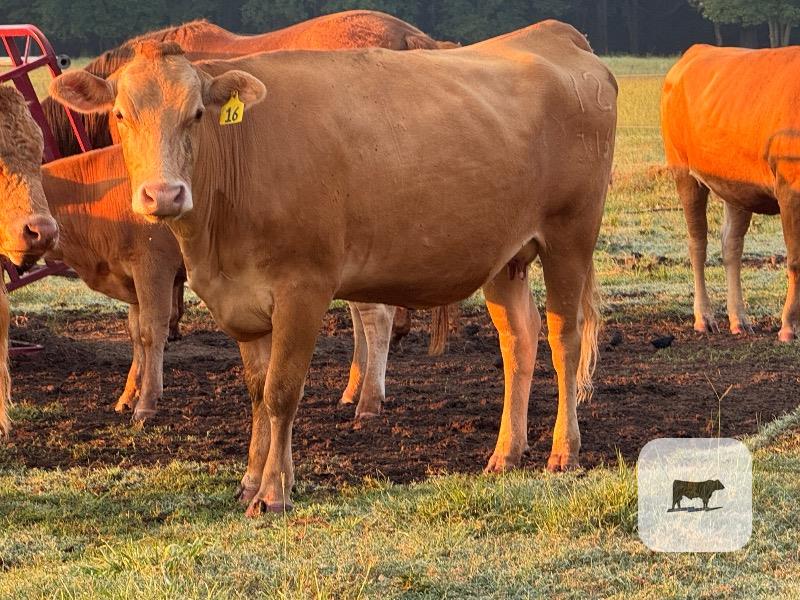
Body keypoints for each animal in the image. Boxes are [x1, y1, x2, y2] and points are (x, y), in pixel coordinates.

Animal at [51, 19, 616, 513]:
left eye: (196, 113)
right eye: (120, 115)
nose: (163, 195)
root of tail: (554, 34)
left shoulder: (303, 288)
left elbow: (281, 392)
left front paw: (273, 493)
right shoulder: (240, 298)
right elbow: (256, 393)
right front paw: (249, 480)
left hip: (570, 236)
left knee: (564, 339)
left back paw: (563, 450)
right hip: (506, 257)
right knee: (518, 340)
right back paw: (505, 452)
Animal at [662, 44, 800, 342]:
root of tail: (695, 51)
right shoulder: (789, 190)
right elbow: (796, 260)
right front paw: (788, 327)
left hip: (735, 186)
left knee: (731, 245)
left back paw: (739, 320)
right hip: (683, 171)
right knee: (697, 243)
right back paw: (704, 318)